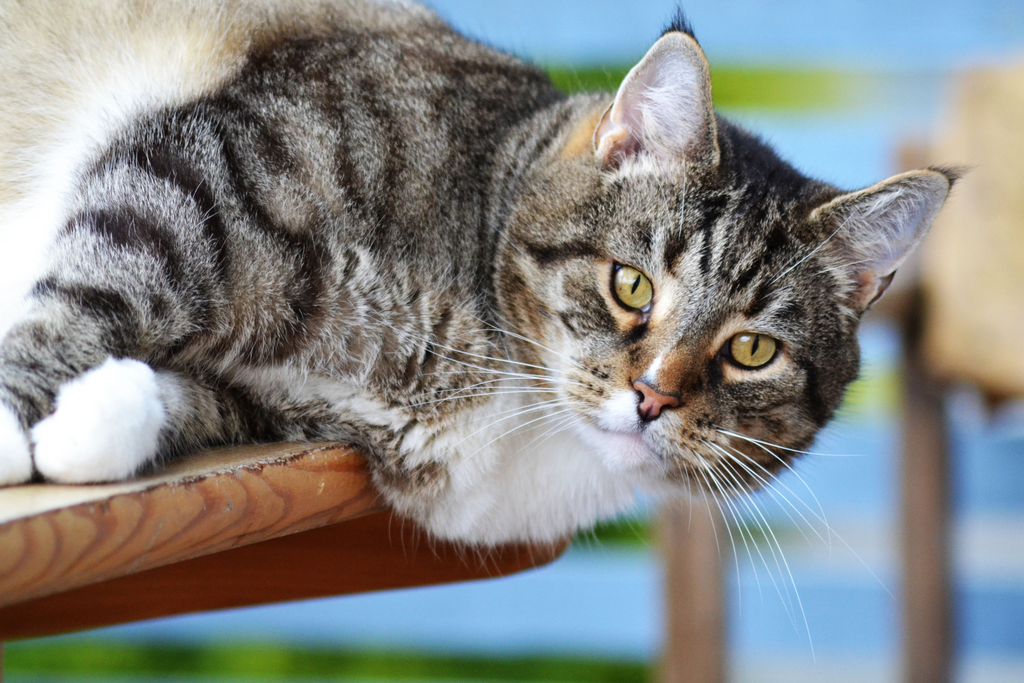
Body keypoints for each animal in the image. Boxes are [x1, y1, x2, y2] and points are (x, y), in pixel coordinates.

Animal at [0, 0, 954, 544]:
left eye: (753, 350)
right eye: (632, 285)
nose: (652, 397)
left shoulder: (276, 406)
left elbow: (182, 398)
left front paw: (92, 424)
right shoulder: (205, 175)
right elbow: (92, 292)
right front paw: (12, 427)